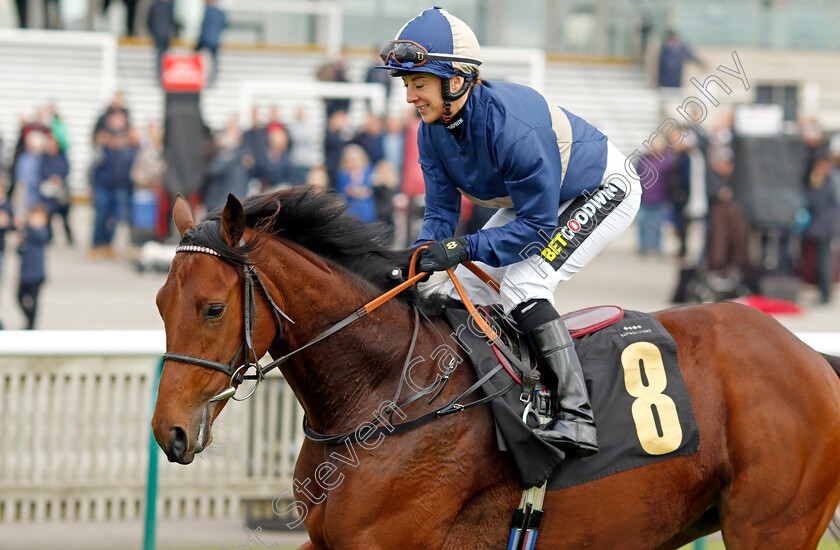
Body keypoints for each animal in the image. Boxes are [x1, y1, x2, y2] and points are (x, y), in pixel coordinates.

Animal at [153, 188, 840, 548]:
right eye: (161, 304)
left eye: (213, 308)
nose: (170, 432)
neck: (388, 393)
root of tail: (812, 357)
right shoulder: (327, 539)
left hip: (769, 526)